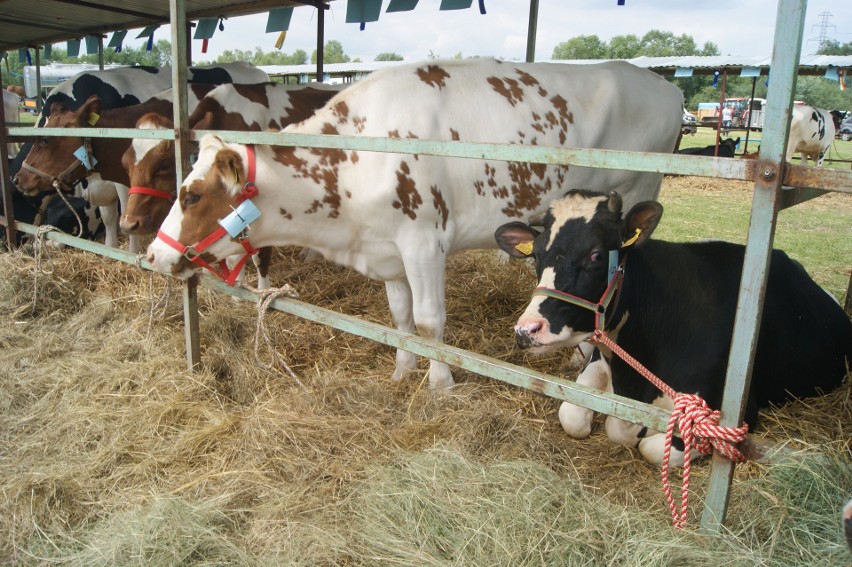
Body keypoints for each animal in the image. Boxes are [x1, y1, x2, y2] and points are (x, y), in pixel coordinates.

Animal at [143, 58, 684, 390]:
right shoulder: (388, 250)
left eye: (192, 194)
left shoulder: (424, 243)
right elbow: (400, 318)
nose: (153, 253)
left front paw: (440, 382)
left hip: (639, 189)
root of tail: (661, 82)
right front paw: (403, 370)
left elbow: (428, 320)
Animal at [496, 191, 848, 466]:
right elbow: (573, 416)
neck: (633, 380)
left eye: (596, 254)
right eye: (536, 255)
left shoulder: (736, 414)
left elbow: (650, 446)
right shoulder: (600, 359)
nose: (527, 329)